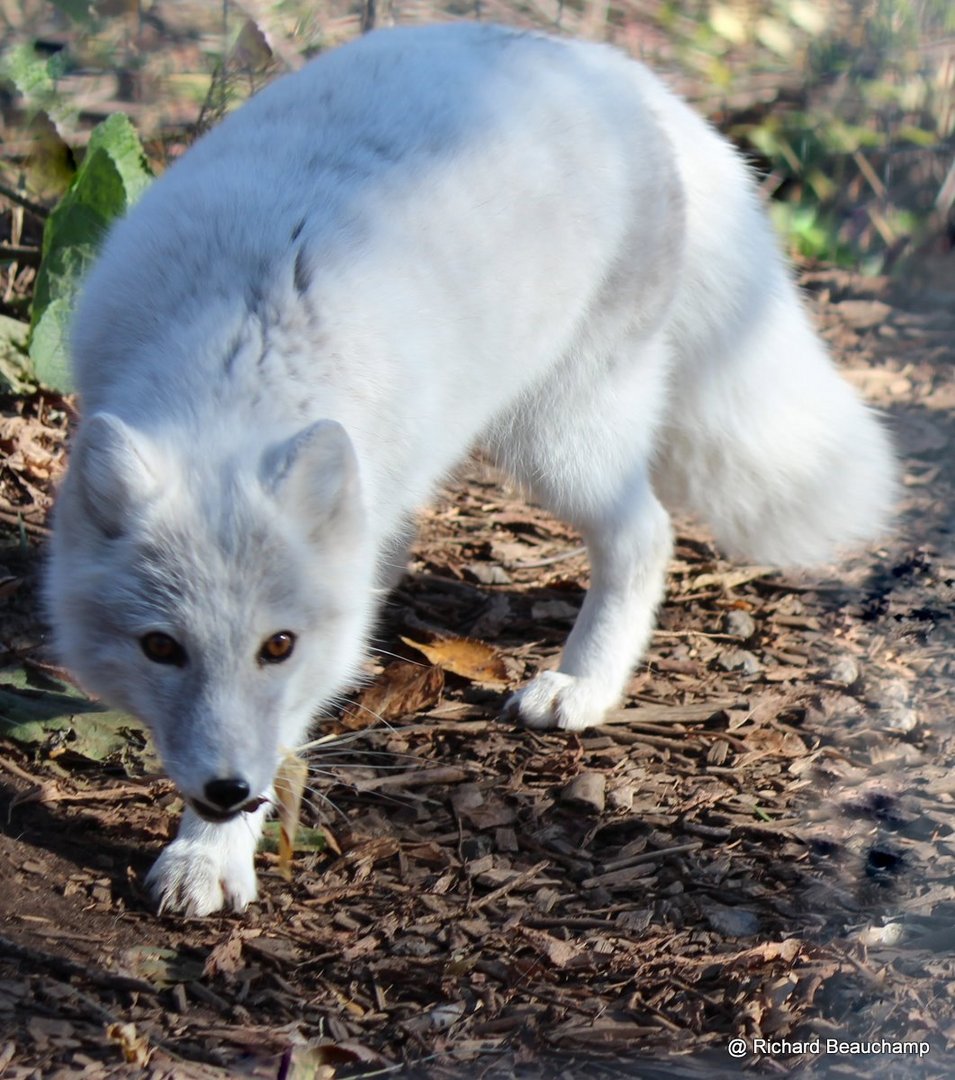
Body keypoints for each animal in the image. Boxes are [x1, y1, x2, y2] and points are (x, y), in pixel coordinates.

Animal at [44, 21, 894, 915]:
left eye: (277, 646)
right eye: (160, 647)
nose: (225, 793)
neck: (238, 364)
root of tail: (603, 63)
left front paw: (209, 856)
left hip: (558, 437)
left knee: (646, 532)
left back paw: (582, 684)